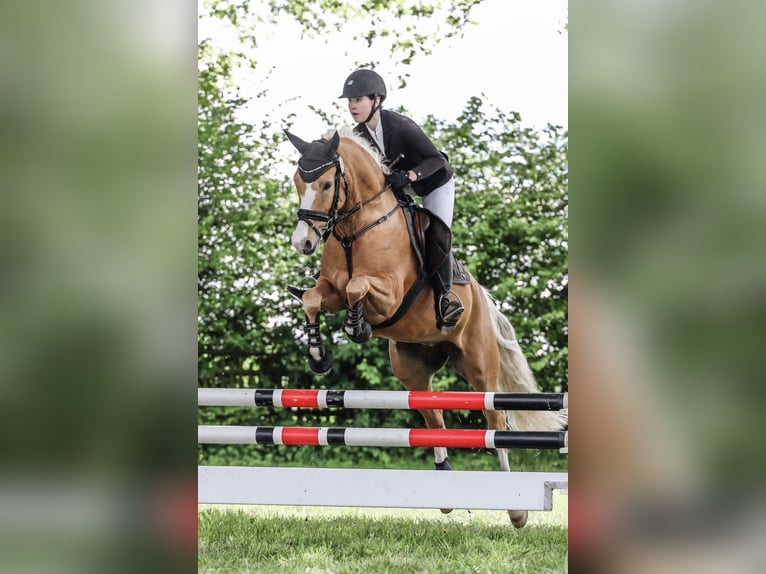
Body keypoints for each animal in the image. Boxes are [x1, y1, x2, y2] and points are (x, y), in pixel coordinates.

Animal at [284, 128, 566, 528]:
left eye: (325, 184)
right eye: (297, 182)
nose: (303, 243)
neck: (356, 228)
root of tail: (483, 299)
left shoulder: (388, 294)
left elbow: (358, 286)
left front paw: (356, 327)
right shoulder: (330, 291)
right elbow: (312, 298)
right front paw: (318, 355)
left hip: (480, 367)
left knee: (495, 421)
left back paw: (515, 508)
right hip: (413, 370)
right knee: (433, 418)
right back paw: (445, 488)